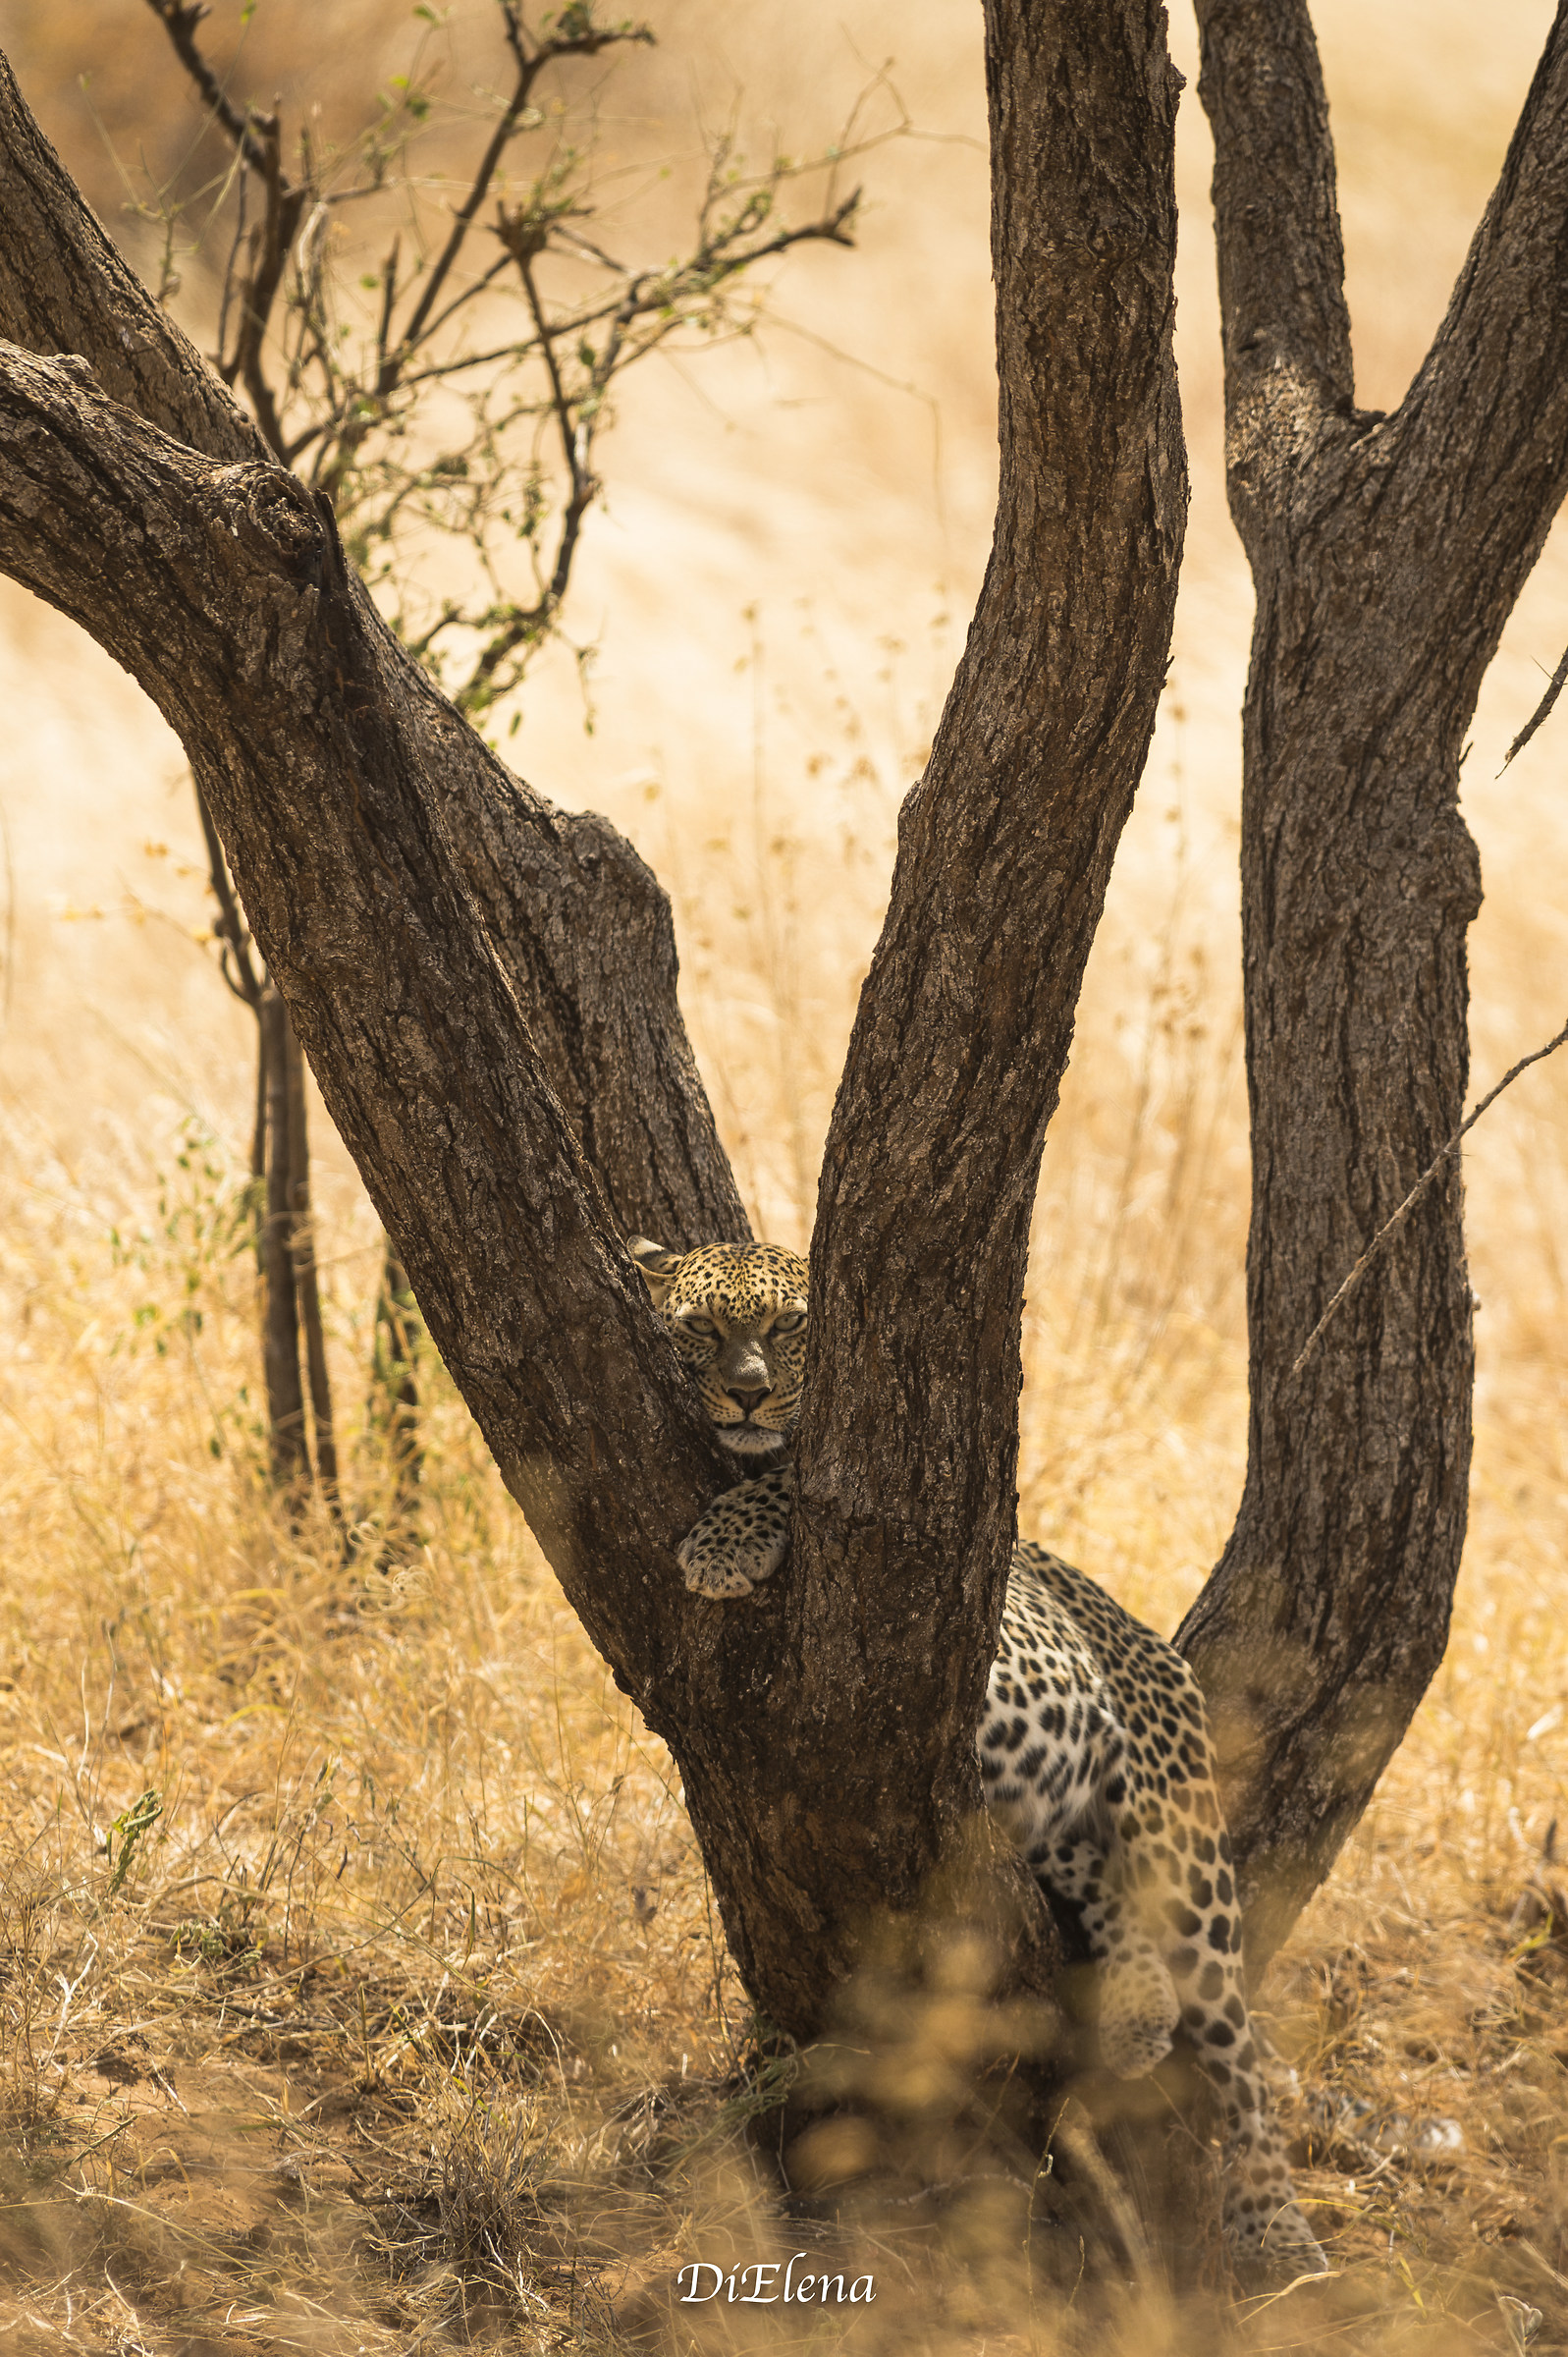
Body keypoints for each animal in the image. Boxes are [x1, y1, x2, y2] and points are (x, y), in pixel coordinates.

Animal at [629, 1232, 1328, 2285]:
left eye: (788, 1325)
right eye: (700, 1329)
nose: (747, 1395)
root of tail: (1141, 1636)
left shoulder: (920, 1506)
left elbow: (803, 1482)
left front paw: (724, 1540)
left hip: (1175, 1815)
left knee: (1232, 2034)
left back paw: (1273, 2224)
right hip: (1048, 1816)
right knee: (1105, 1887)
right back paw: (1135, 2013)